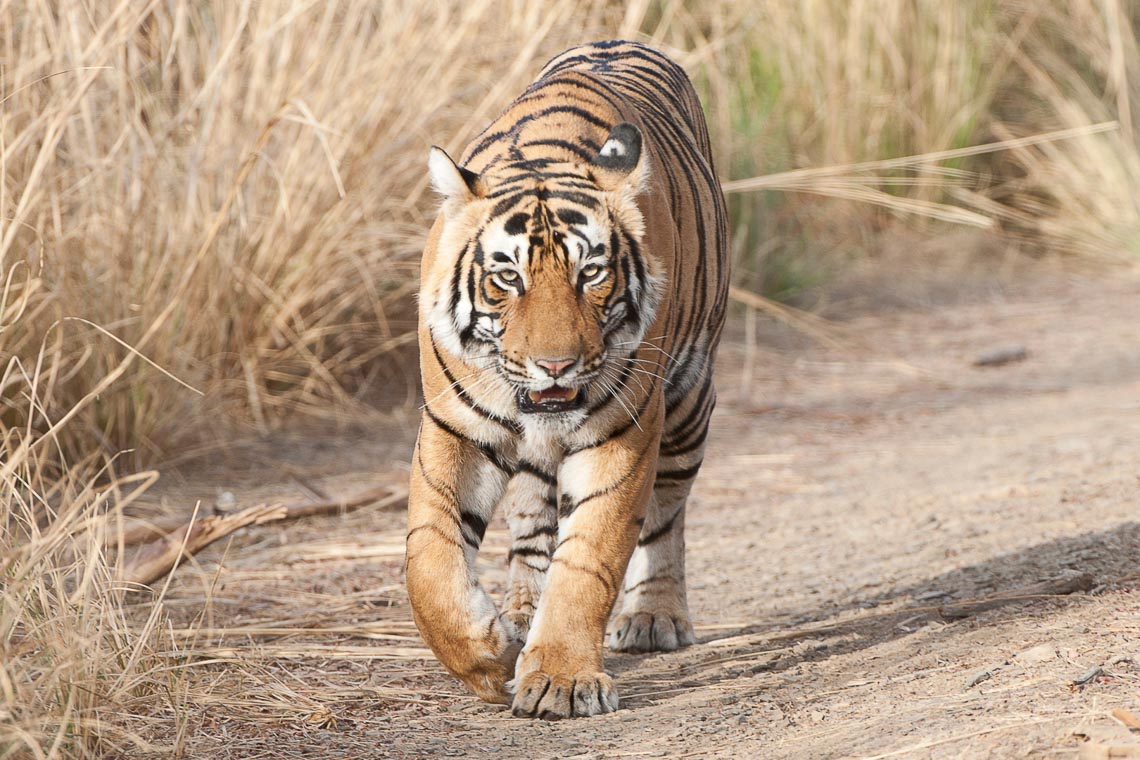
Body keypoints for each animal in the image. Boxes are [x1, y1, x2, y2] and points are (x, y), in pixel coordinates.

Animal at [408, 41, 729, 720]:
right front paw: (489, 659)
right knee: (532, 525)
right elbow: (429, 562)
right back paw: (520, 615)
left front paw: (560, 679)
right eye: (508, 278)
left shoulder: (623, 434)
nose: (555, 366)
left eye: (592, 273)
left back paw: (654, 617)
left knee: (667, 513)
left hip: (689, 402)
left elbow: (588, 561)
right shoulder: (453, 427)